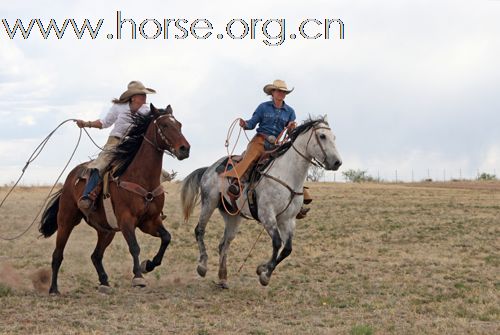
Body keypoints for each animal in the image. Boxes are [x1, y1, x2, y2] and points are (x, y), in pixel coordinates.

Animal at [39, 104, 189, 294]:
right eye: (164, 125)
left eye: (179, 125)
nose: (185, 149)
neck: (141, 177)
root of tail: (70, 178)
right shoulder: (126, 221)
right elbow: (134, 246)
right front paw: (138, 277)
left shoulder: (150, 221)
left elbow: (166, 238)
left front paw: (148, 265)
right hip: (66, 220)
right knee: (58, 255)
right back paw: (53, 289)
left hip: (106, 230)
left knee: (95, 256)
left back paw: (104, 282)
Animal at [182, 116, 342, 288]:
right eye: (322, 136)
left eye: (334, 137)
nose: (337, 162)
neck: (287, 175)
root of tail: (209, 168)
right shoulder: (267, 215)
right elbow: (277, 243)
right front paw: (265, 274)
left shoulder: (288, 220)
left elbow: (287, 249)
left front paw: (262, 269)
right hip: (209, 202)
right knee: (199, 230)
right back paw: (202, 266)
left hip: (232, 215)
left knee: (224, 244)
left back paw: (223, 278)